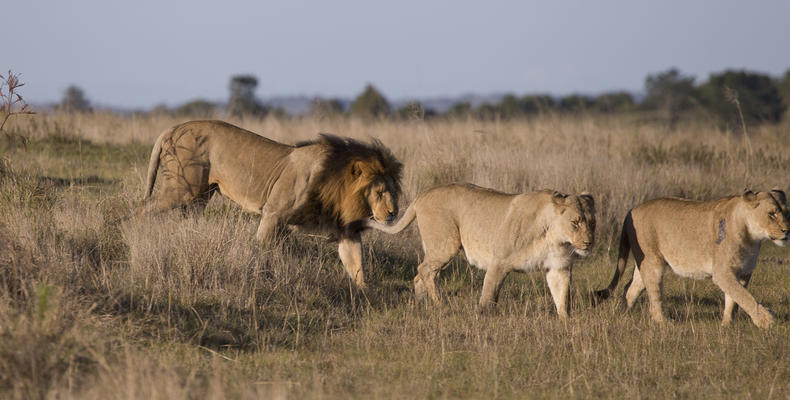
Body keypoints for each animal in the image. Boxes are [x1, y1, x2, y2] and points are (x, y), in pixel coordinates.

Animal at [139, 119, 402, 288]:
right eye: (379, 192)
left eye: (393, 191)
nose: (393, 213)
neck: (333, 183)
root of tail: (173, 127)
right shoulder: (273, 213)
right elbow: (262, 247)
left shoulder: (345, 228)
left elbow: (355, 262)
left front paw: (365, 294)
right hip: (181, 189)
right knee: (142, 208)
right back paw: (136, 233)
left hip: (200, 196)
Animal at [364, 183, 592, 318]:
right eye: (575, 222)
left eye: (592, 222)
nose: (589, 243)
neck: (557, 238)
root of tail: (422, 195)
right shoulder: (499, 262)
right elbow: (489, 295)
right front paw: (483, 317)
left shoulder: (558, 267)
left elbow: (561, 295)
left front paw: (565, 321)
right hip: (446, 244)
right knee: (425, 270)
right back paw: (440, 304)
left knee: (420, 274)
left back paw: (422, 305)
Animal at [596, 191, 788, 328]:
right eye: (771, 214)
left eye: (787, 213)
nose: (787, 231)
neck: (753, 238)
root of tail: (631, 210)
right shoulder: (722, 273)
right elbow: (745, 296)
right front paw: (766, 320)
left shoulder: (744, 272)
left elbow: (734, 299)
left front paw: (727, 325)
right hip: (653, 262)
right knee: (654, 296)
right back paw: (664, 323)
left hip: (644, 263)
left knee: (631, 288)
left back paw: (624, 314)